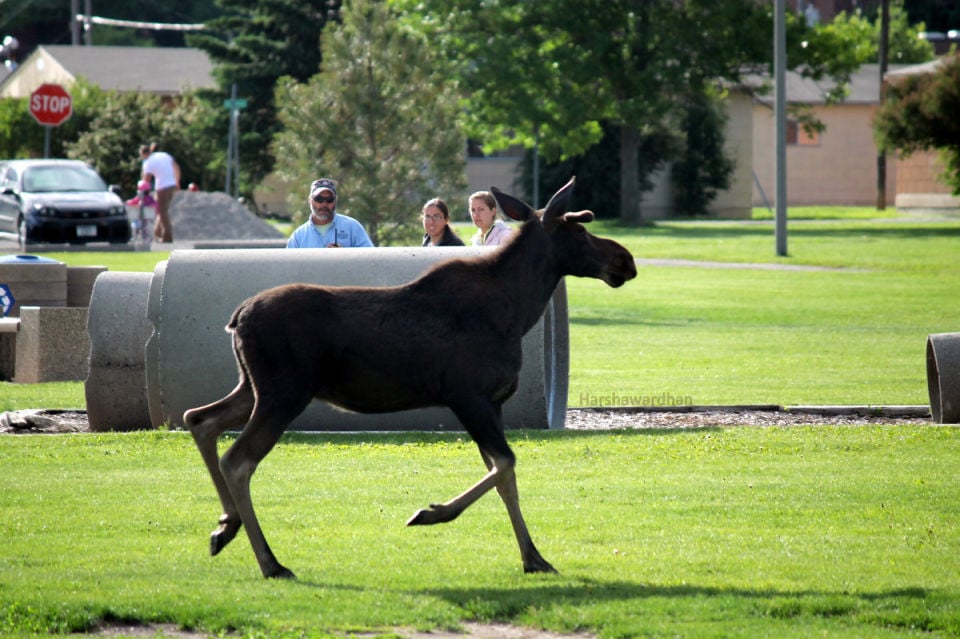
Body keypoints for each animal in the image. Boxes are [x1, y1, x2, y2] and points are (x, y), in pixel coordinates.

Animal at [183, 177, 637, 579]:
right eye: (580, 228)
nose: (626, 261)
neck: (515, 313)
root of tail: (237, 318)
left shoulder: (492, 403)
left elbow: (505, 477)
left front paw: (534, 557)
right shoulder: (467, 396)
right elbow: (506, 463)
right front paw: (430, 513)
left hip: (252, 386)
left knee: (199, 419)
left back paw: (225, 525)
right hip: (284, 392)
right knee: (238, 459)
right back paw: (271, 562)